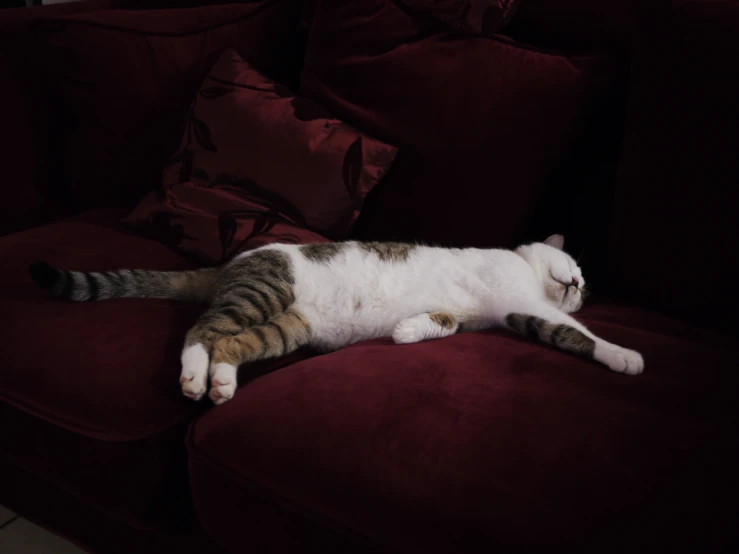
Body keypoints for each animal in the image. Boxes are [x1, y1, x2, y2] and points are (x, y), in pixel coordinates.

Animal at [28, 231, 640, 404]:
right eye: (573, 266)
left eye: (581, 282)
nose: (578, 284)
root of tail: (232, 262)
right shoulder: (524, 301)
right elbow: (575, 333)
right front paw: (625, 355)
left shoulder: (481, 315)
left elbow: (438, 324)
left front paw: (405, 331)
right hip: (264, 294)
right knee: (202, 331)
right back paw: (194, 378)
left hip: (286, 327)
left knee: (230, 345)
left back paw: (220, 384)